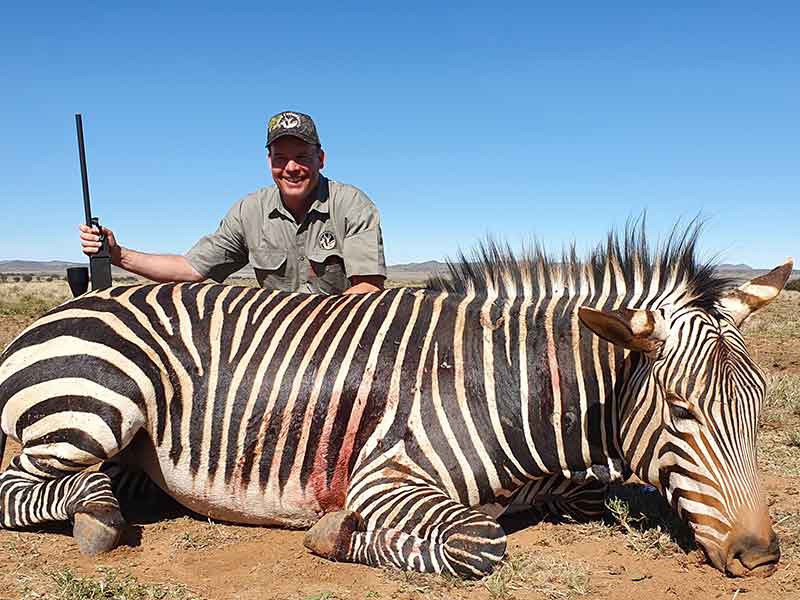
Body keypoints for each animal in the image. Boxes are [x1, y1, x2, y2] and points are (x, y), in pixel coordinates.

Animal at [0, 224, 791, 578]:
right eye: (681, 410)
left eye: (757, 408)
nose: (759, 555)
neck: (512, 384)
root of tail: (65, 308)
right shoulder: (386, 476)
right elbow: (480, 542)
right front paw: (330, 534)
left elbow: (598, 493)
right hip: (95, 406)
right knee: (23, 485)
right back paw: (98, 514)